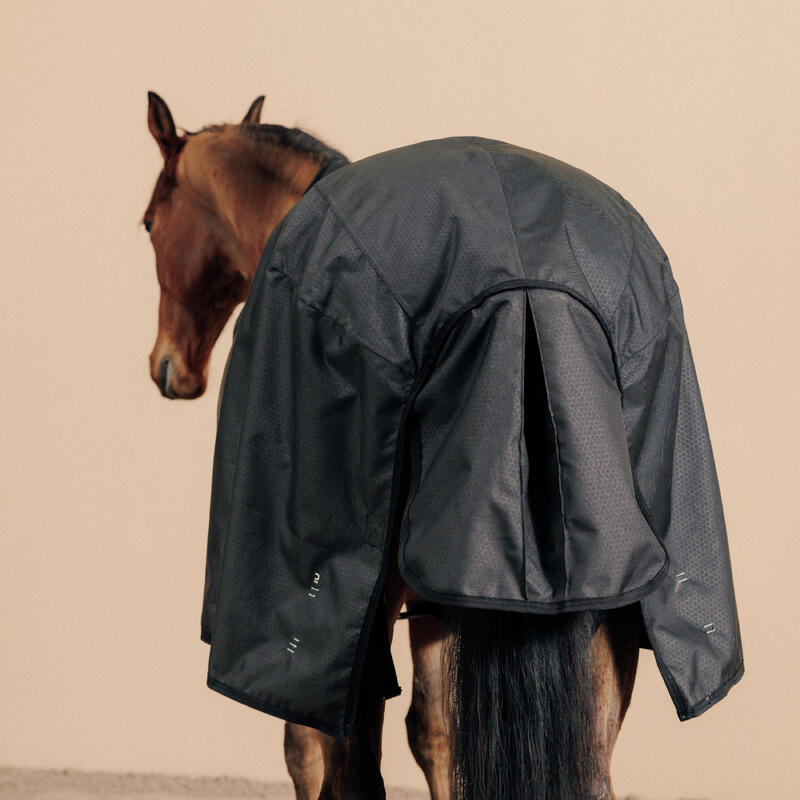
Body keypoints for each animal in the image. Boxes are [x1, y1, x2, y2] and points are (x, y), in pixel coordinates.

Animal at [141, 91, 641, 800]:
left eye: (150, 223)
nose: (168, 367)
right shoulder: (440, 603)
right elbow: (437, 736)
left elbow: (309, 750)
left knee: (350, 769)